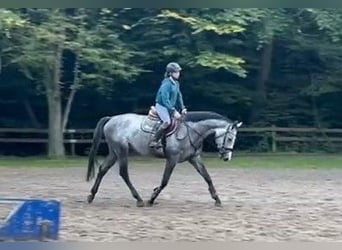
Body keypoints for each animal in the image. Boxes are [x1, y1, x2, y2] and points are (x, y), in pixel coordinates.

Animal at [86, 107, 243, 207]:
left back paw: (91, 196)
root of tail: (111, 119)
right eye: (230, 138)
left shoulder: (194, 158)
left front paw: (217, 199)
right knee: (124, 173)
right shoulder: (172, 159)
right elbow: (164, 181)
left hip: (114, 152)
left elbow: (207, 177)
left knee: (102, 169)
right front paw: (151, 198)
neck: (190, 131)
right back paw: (139, 199)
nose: (227, 157)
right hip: (122, 151)